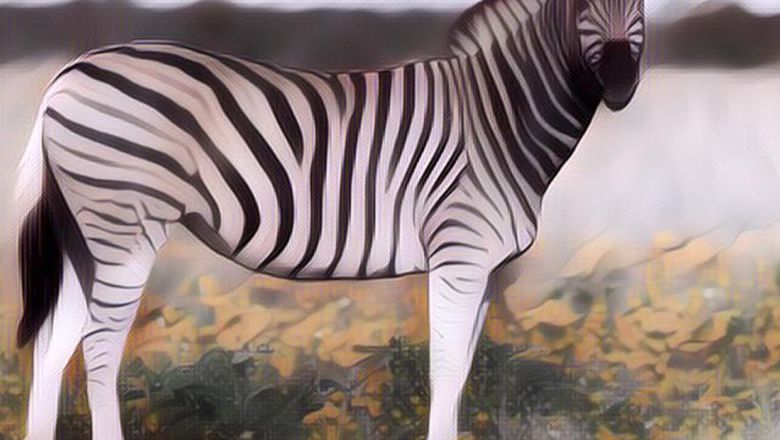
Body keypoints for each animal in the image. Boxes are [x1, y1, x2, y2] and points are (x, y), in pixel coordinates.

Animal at [14, 0, 644, 438]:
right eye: (580, 6)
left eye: (637, 1)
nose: (619, 86)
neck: (499, 117)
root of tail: (70, 70)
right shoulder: (459, 253)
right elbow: (445, 369)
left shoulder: (485, 269)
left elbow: (462, 371)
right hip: (125, 224)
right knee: (98, 348)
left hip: (86, 233)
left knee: (53, 343)